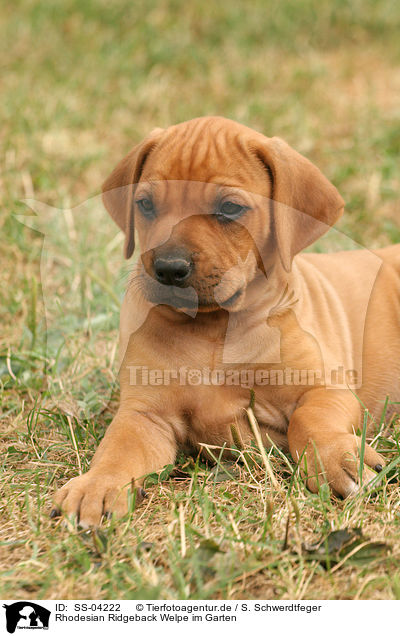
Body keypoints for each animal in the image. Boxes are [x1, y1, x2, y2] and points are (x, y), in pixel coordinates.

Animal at [52, 117, 400, 524]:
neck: (212, 329)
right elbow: (117, 449)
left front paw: (338, 459)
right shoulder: (144, 414)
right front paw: (96, 486)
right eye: (145, 204)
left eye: (230, 208)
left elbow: (310, 418)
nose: (169, 268)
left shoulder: (325, 389)